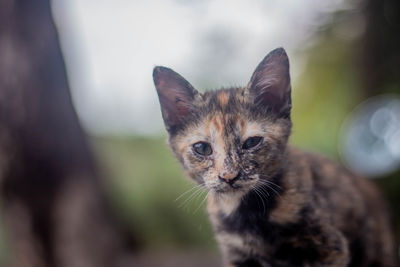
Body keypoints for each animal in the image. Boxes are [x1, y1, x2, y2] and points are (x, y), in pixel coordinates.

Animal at [152, 48, 396, 267]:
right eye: (202, 148)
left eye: (252, 142)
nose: (229, 176)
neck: (246, 213)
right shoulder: (237, 256)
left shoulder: (329, 248)